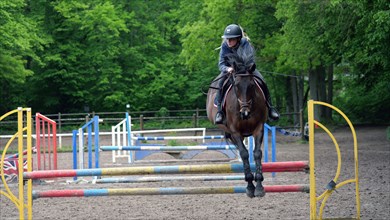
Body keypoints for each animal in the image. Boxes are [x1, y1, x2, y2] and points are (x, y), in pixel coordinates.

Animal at [207, 52, 268, 198]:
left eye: (252, 85)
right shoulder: (235, 132)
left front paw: (259, 186)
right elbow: (244, 154)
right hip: (229, 132)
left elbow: (257, 153)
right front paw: (250, 186)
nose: (245, 113)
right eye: (236, 86)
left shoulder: (259, 128)